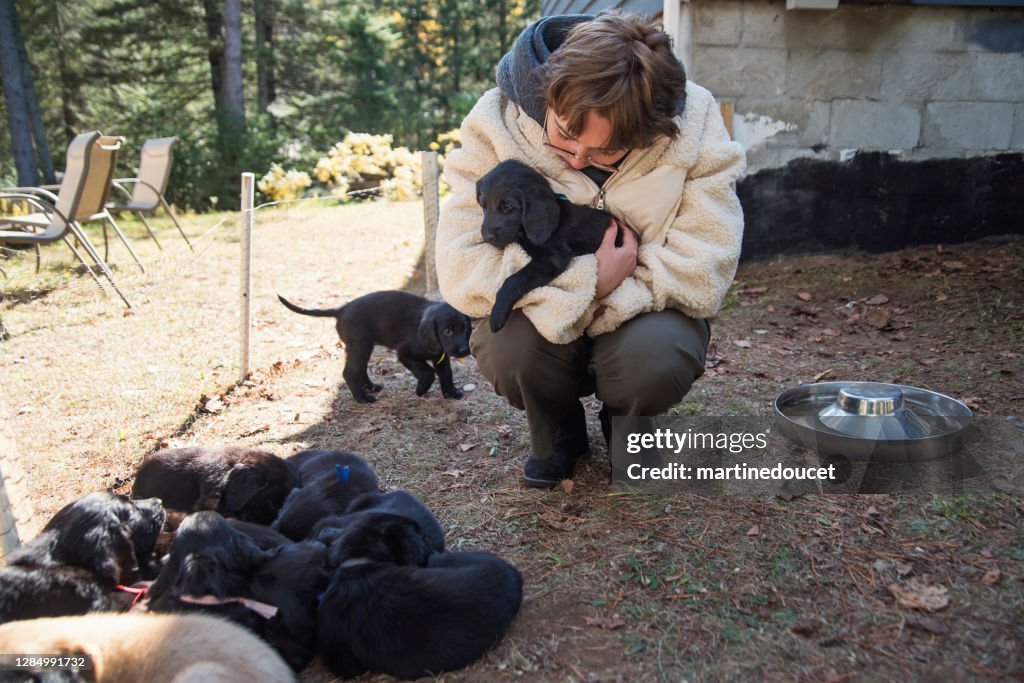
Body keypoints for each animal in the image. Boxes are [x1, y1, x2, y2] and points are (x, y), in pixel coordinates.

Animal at [477, 158, 626, 333]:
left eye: (508, 207)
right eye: (483, 206)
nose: (487, 237)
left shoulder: (553, 257)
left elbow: (514, 279)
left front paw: (497, 314)